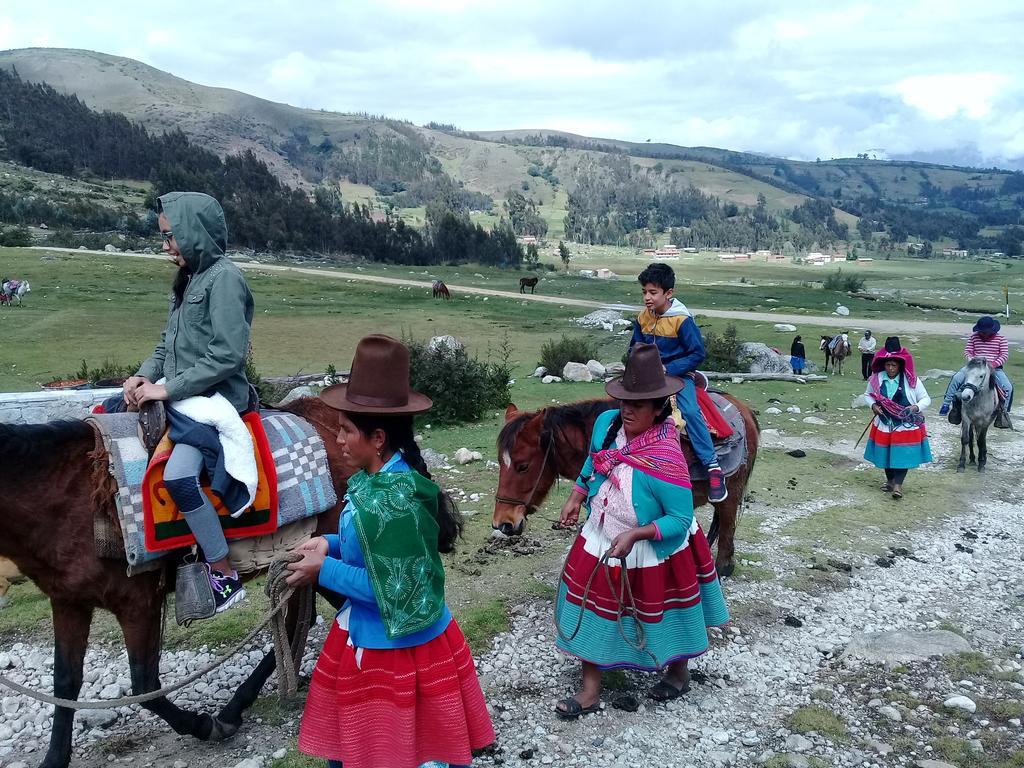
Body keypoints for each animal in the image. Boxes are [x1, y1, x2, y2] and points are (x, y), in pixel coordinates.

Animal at [0, 397, 348, 768]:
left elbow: (145, 686)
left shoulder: (138, 604)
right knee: (303, 620)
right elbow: (65, 682)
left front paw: (204, 726)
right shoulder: (69, 601)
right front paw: (54, 758)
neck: (71, 499)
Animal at [491, 397, 757, 577]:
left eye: (523, 466)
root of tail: (744, 410)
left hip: (730, 494)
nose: (503, 524)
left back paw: (722, 568)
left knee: (727, 527)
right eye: (501, 463)